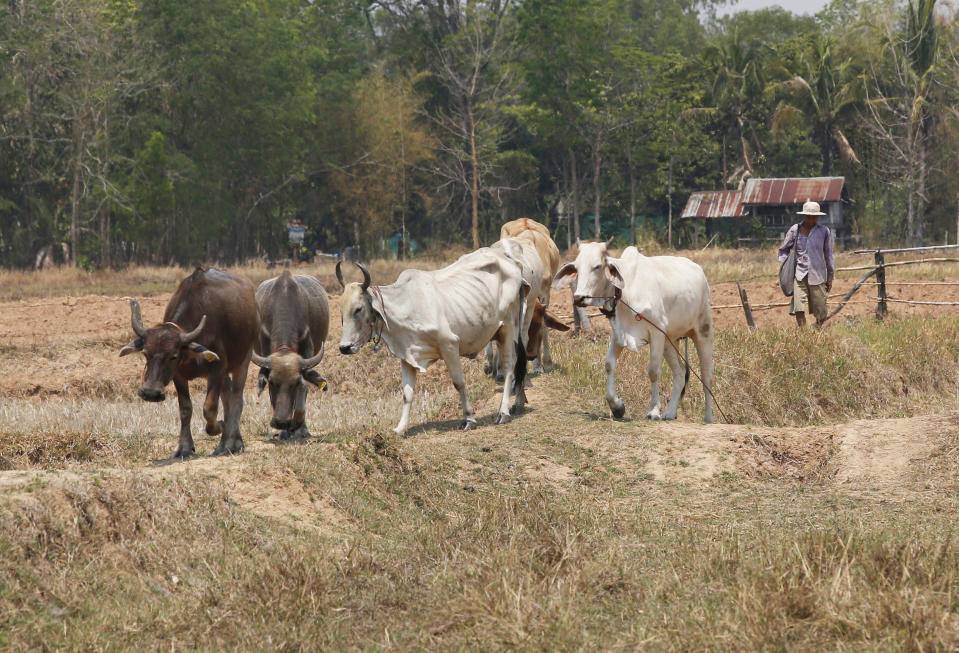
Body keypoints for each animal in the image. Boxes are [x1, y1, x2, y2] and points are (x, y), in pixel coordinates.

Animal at [118, 268, 256, 456]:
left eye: (173, 356)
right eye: (146, 353)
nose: (151, 393)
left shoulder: (218, 369)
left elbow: (209, 408)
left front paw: (220, 425)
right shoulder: (178, 375)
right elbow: (185, 409)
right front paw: (184, 447)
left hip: (243, 361)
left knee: (236, 398)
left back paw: (233, 443)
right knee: (228, 397)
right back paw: (222, 444)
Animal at [251, 268, 330, 440]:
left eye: (295, 383)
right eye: (271, 382)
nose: (281, 423)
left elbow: (304, 390)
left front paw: (300, 428)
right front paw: (283, 432)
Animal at [338, 252, 532, 436]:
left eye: (358, 309)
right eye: (341, 311)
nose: (344, 347)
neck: (406, 305)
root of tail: (514, 264)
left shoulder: (450, 345)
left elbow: (459, 383)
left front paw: (469, 418)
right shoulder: (407, 356)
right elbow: (407, 394)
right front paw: (400, 428)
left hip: (508, 327)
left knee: (509, 366)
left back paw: (503, 412)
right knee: (518, 365)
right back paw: (519, 402)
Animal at [552, 241, 716, 422]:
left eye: (597, 266)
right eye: (577, 268)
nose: (579, 297)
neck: (625, 291)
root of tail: (699, 270)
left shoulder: (656, 332)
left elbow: (653, 371)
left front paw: (653, 410)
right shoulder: (618, 333)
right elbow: (609, 365)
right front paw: (617, 407)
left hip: (703, 331)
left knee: (706, 376)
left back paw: (708, 418)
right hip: (670, 340)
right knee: (680, 373)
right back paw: (670, 412)